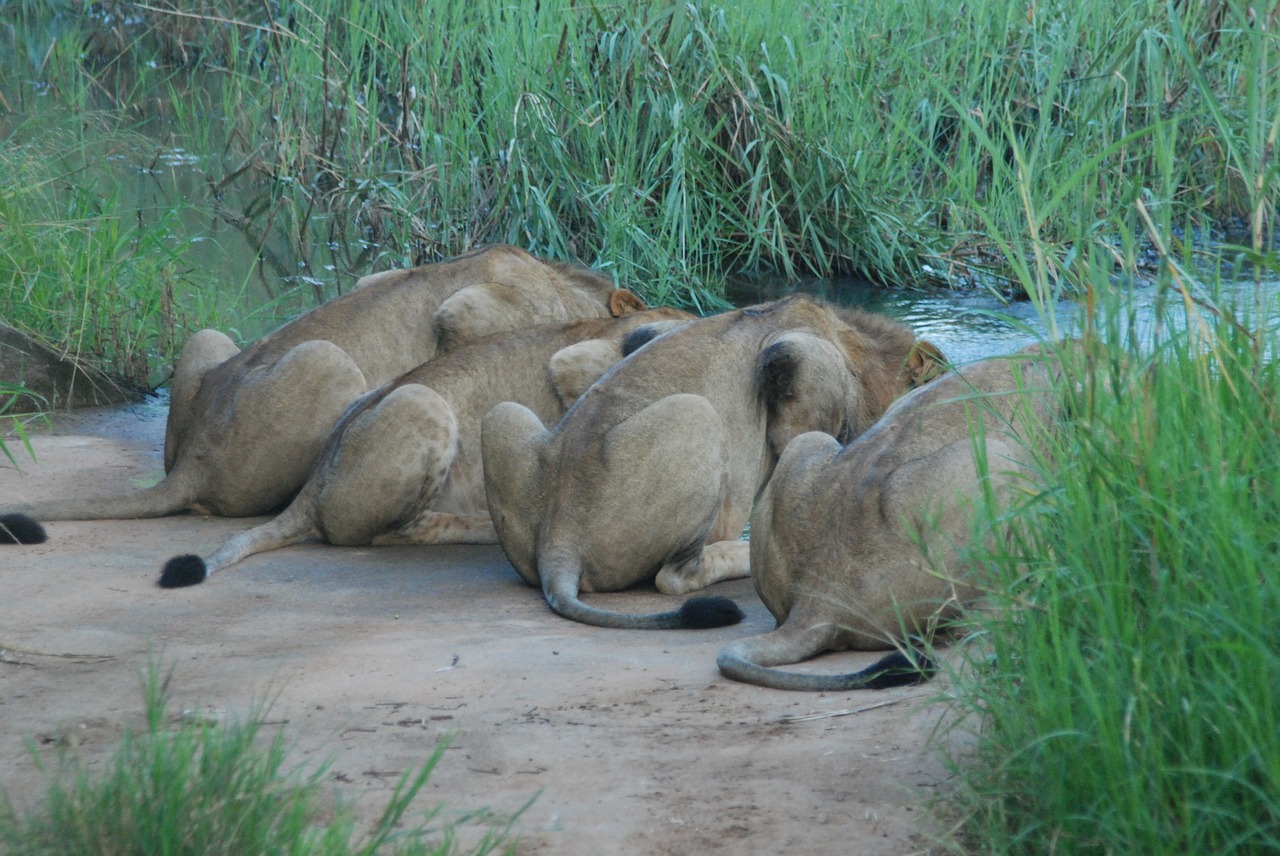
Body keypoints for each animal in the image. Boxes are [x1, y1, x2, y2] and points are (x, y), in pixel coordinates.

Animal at [0, 241, 640, 527]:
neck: (567, 284)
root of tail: (194, 460)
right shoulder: (467, 314)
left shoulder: (374, 275)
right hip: (331, 363)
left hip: (206, 339)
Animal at [476, 296, 947, 632]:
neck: (858, 350)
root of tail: (559, 539)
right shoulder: (802, 359)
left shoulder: (650, 328)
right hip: (697, 415)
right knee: (673, 577)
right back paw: (736, 553)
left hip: (501, 416)